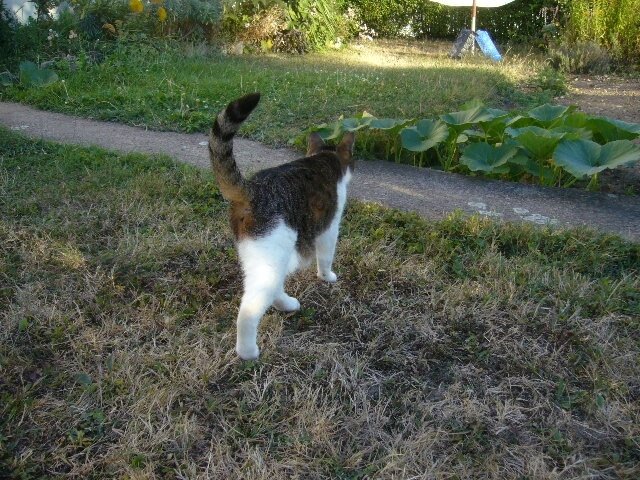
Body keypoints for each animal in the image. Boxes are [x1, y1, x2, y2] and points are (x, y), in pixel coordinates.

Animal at [209, 93, 356, 360]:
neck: (323, 159)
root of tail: (252, 190)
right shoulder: (330, 227)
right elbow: (326, 256)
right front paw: (327, 277)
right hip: (274, 253)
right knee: (249, 309)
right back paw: (248, 352)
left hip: (264, 254)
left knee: (273, 284)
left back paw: (287, 304)